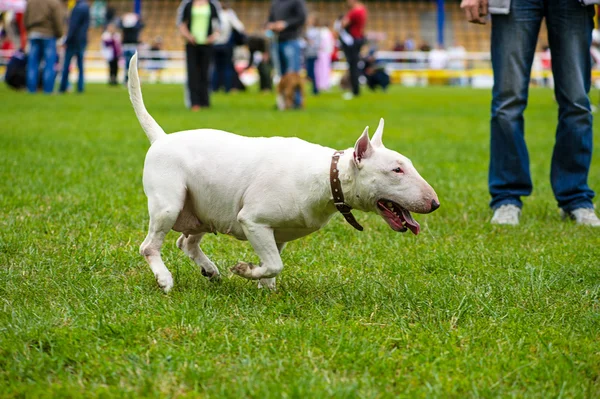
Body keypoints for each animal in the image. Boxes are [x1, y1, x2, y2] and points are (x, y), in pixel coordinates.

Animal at [126, 54, 438, 294]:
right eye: (396, 169)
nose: (434, 203)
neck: (328, 178)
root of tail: (161, 138)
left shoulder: (278, 234)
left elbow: (273, 264)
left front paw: (265, 287)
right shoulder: (253, 221)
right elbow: (275, 263)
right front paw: (245, 269)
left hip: (203, 207)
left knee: (186, 242)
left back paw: (209, 270)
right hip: (170, 204)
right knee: (149, 246)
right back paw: (165, 279)